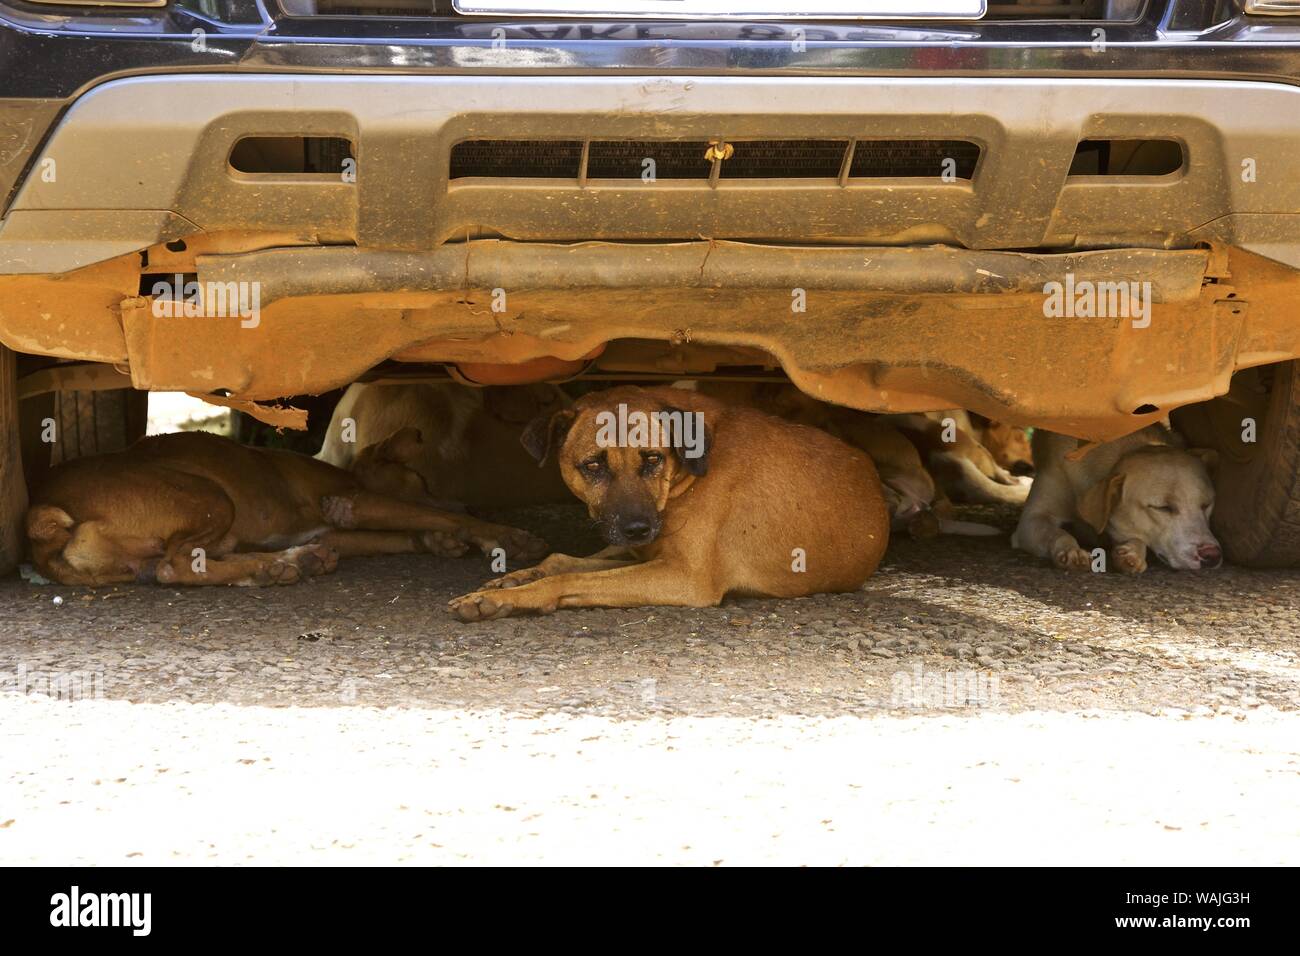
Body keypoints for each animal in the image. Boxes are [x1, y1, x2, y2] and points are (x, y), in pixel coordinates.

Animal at [29, 429, 548, 587]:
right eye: (420, 478)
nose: (468, 496)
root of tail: (43, 515)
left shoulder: (334, 527)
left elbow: (404, 534)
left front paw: (439, 541)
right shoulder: (356, 502)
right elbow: (441, 514)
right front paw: (504, 535)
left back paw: (288, 563)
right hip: (208, 496)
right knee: (175, 568)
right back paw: (279, 567)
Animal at [449, 385, 894, 624]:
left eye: (652, 459)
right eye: (593, 465)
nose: (638, 529)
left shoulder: (683, 576)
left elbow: (568, 580)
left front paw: (509, 598)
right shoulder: (645, 552)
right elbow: (563, 561)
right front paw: (512, 581)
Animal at [1013, 429, 1216, 574]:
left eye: (1207, 504)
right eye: (1163, 508)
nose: (1213, 555)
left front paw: (1132, 551)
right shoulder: (1032, 520)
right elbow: (1057, 533)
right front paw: (1071, 551)